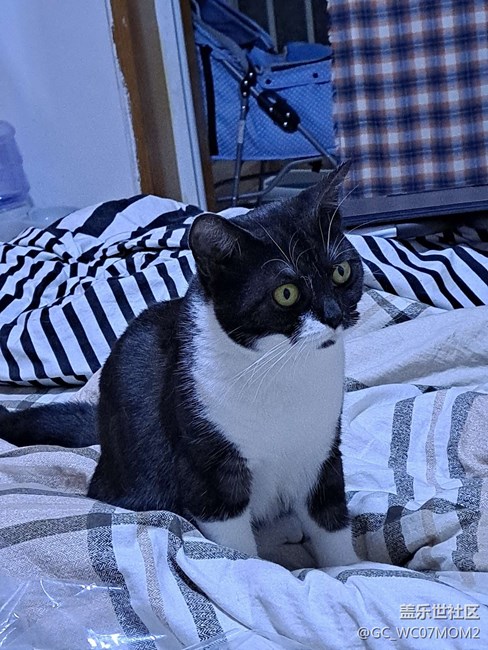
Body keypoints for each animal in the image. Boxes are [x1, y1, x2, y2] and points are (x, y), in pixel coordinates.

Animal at [0, 165, 363, 566]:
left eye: (341, 272)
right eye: (286, 293)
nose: (334, 315)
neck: (285, 370)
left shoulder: (322, 451)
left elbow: (331, 519)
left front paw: (351, 569)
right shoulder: (208, 467)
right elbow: (234, 546)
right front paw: (263, 568)